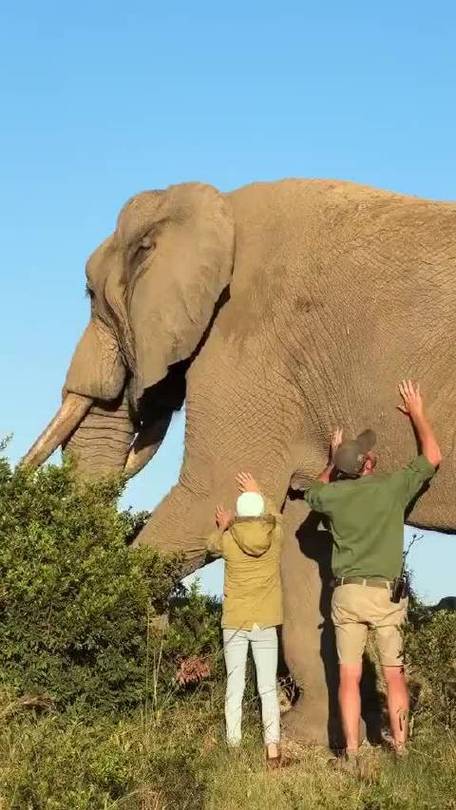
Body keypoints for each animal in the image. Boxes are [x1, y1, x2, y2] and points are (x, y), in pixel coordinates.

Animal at [24, 180, 456, 740]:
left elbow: (211, 496)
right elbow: (300, 543)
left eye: (90, 295)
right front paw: (308, 739)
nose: (177, 678)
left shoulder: (248, 344)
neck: (211, 206)